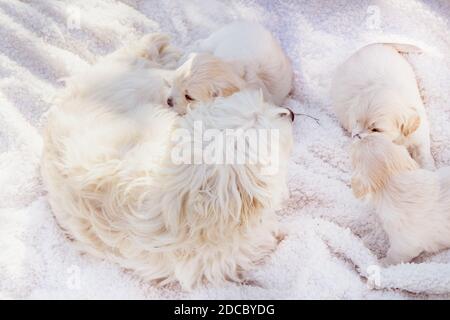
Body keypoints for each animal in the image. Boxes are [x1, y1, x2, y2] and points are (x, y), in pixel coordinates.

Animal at [332, 42, 434, 170]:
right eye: (357, 122)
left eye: (376, 130)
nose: (356, 136)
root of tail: (378, 43)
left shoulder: (419, 134)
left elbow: (423, 152)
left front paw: (429, 168)